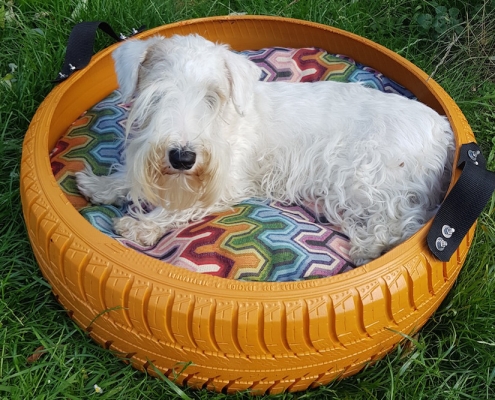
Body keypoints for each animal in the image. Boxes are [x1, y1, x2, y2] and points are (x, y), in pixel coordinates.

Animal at [77, 34, 458, 266]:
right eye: (156, 95)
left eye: (213, 97)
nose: (182, 157)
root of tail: (443, 129)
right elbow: (130, 177)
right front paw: (101, 186)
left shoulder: (225, 183)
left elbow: (181, 208)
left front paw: (142, 226)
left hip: (365, 177)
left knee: (408, 218)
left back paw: (370, 246)